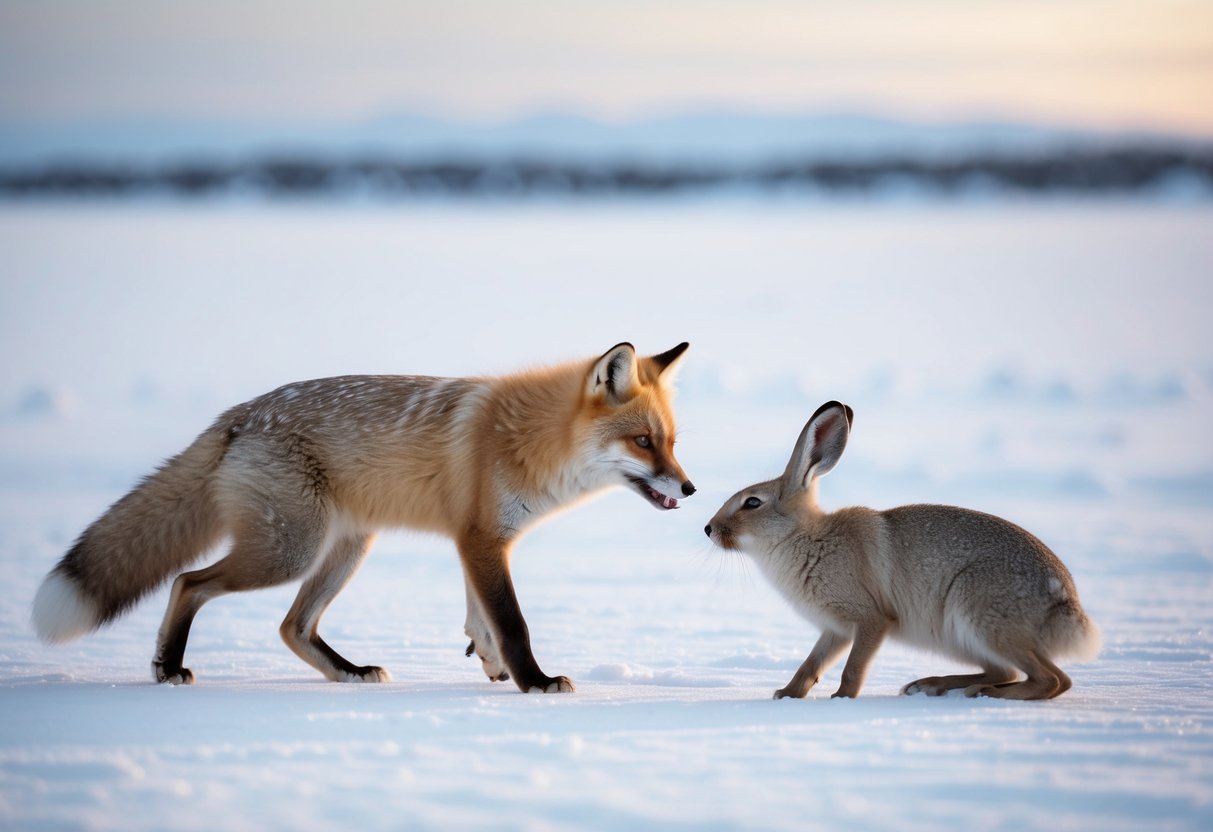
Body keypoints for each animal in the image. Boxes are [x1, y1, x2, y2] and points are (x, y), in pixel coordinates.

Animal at [31, 342, 695, 693]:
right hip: (289, 551)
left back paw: (348, 672)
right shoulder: (483, 540)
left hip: (346, 548)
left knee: (291, 627)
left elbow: (480, 619)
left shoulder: (476, 540)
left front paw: (491, 664)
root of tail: (240, 413)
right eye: (642, 442)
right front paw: (535, 682)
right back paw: (167, 667)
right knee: (186, 582)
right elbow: (513, 623)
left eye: (671, 442)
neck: (530, 441)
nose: (690, 489)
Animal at [705, 401, 1100, 701]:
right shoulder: (835, 629)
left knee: (1052, 680)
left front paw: (841, 699)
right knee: (1006, 671)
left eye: (752, 503)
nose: (709, 529)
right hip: (964, 636)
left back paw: (983, 694)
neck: (803, 536)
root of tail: (1069, 608)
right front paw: (786, 694)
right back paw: (932, 685)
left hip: (980, 612)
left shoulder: (870, 620)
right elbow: (811, 664)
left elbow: (852, 667)